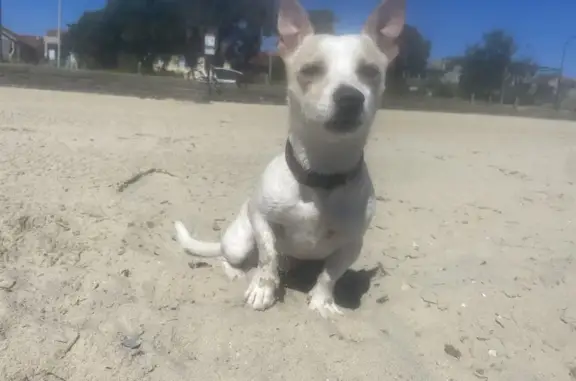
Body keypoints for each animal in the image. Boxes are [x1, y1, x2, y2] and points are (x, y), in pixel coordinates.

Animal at [176, 0, 404, 318]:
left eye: (370, 71)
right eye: (310, 70)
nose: (350, 98)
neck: (322, 175)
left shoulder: (352, 244)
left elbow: (330, 274)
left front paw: (322, 301)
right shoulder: (262, 220)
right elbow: (268, 257)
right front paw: (263, 290)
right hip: (239, 240)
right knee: (230, 256)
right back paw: (236, 271)